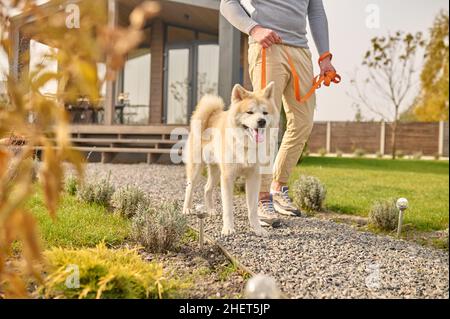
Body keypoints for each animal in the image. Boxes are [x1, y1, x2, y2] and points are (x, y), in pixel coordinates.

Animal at [184, 82, 278, 238]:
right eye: (250, 112)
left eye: (265, 113)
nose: (262, 121)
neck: (246, 145)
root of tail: (212, 114)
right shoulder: (228, 177)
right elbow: (228, 208)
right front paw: (228, 229)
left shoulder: (253, 178)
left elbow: (252, 209)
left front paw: (257, 229)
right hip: (197, 168)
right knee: (190, 188)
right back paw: (187, 208)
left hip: (216, 172)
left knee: (207, 188)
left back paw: (210, 210)